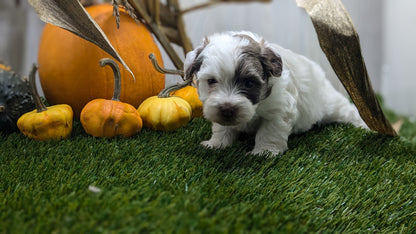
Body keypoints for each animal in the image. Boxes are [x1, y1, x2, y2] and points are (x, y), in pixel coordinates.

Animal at [185, 31, 368, 155]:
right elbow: (222, 127)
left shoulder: (279, 109)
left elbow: (269, 131)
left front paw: (263, 152)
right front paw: (216, 144)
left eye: (249, 83)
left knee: (347, 110)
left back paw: (364, 125)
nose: (227, 110)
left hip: (329, 104)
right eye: (211, 81)